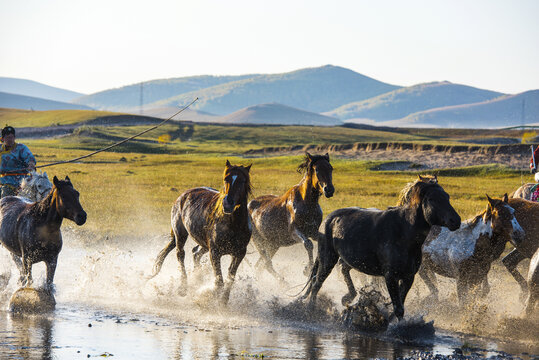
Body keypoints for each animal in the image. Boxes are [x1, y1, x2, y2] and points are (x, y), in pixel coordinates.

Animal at [150, 160, 253, 304]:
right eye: (226, 178)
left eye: (242, 180)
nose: (227, 203)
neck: (233, 224)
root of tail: (182, 196)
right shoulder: (215, 252)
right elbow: (219, 282)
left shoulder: (239, 254)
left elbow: (230, 280)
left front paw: (223, 302)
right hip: (181, 234)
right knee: (180, 254)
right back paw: (183, 288)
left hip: (203, 244)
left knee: (195, 253)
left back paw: (196, 280)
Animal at [248, 150, 334, 280]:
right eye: (317, 169)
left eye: (330, 168)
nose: (329, 190)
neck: (307, 203)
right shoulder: (294, 232)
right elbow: (308, 244)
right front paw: (307, 269)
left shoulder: (313, 231)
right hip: (259, 242)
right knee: (267, 264)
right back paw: (283, 282)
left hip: (273, 245)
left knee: (260, 266)